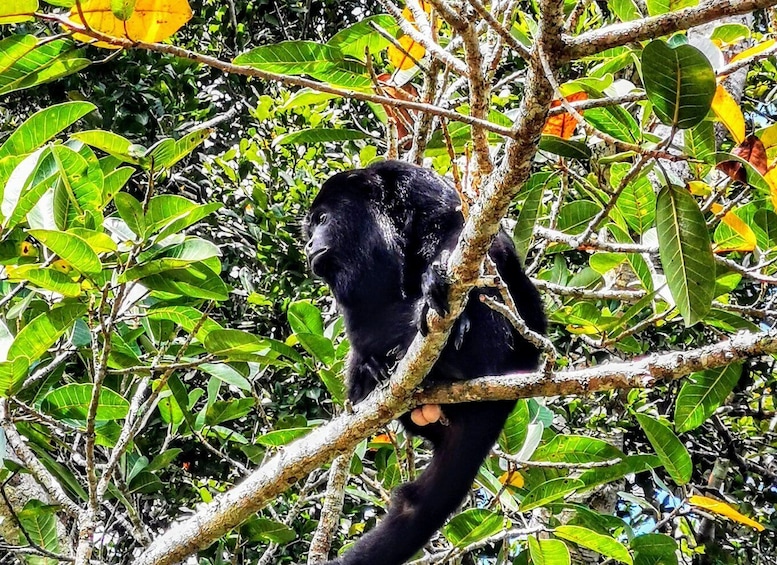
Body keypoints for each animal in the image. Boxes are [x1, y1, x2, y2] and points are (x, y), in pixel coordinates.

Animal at [304, 160, 544, 564]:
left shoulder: (413, 181)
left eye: (322, 218)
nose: (308, 244)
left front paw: (438, 274)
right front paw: (372, 364)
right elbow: (359, 319)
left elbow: (461, 228)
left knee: (489, 273)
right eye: (310, 227)